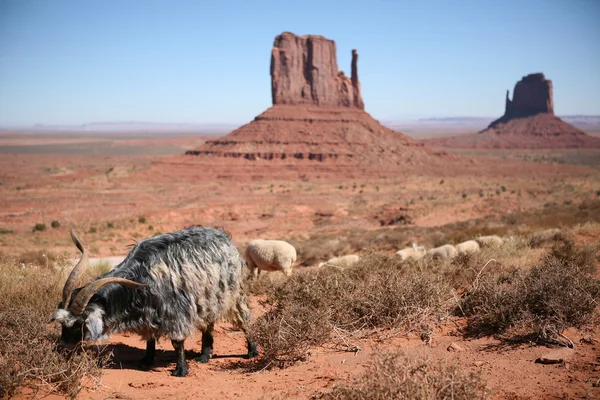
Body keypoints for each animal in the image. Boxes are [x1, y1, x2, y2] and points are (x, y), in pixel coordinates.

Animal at [50, 227, 256, 376]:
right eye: (61, 324)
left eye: (79, 324)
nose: (64, 346)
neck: (141, 278)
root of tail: (224, 237)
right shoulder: (148, 311)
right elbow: (149, 337)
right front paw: (147, 360)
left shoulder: (175, 311)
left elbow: (177, 342)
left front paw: (180, 370)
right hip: (207, 296)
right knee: (209, 322)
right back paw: (205, 355)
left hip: (232, 292)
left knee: (245, 319)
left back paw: (252, 351)